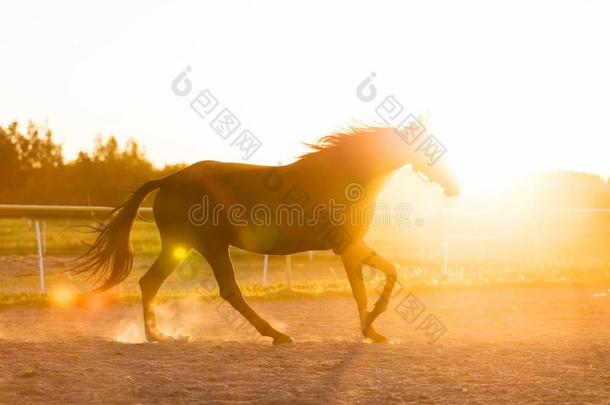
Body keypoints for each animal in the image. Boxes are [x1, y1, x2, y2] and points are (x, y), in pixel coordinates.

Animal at [73, 126, 456, 344]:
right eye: (428, 147)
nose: (456, 187)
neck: (341, 177)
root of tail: (168, 180)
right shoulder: (348, 246)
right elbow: (380, 279)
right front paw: (373, 322)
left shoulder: (348, 250)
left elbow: (372, 283)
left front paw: (371, 329)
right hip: (210, 246)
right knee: (229, 291)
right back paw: (277, 335)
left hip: (179, 247)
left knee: (149, 282)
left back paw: (157, 334)